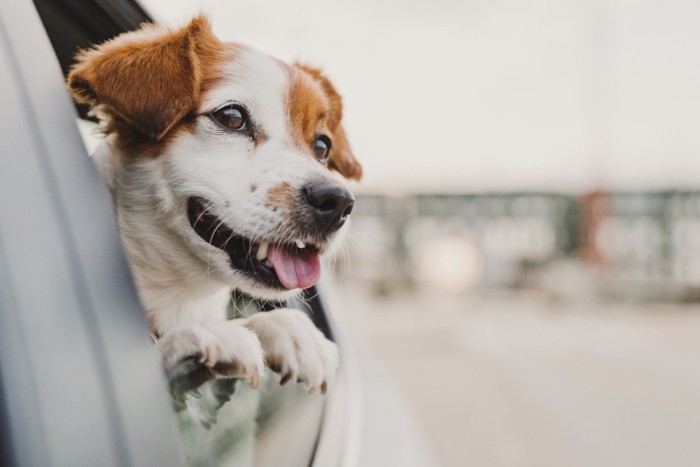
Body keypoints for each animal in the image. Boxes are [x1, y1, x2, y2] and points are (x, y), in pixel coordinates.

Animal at [67, 15, 360, 438]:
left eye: (321, 146)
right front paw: (198, 336)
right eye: (232, 117)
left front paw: (289, 329)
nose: (337, 202)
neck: (182, 295)